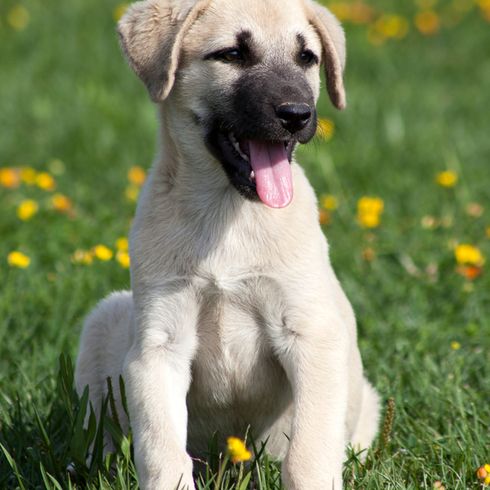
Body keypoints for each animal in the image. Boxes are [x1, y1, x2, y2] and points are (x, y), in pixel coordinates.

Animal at [76, 0, 380, 488]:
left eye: (307, 58)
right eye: (233, 55)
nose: (297, 114)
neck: (229, 215)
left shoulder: (311, 335)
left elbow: (308, 453)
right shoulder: (159, 347)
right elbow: (162, 450)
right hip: (105, 320)